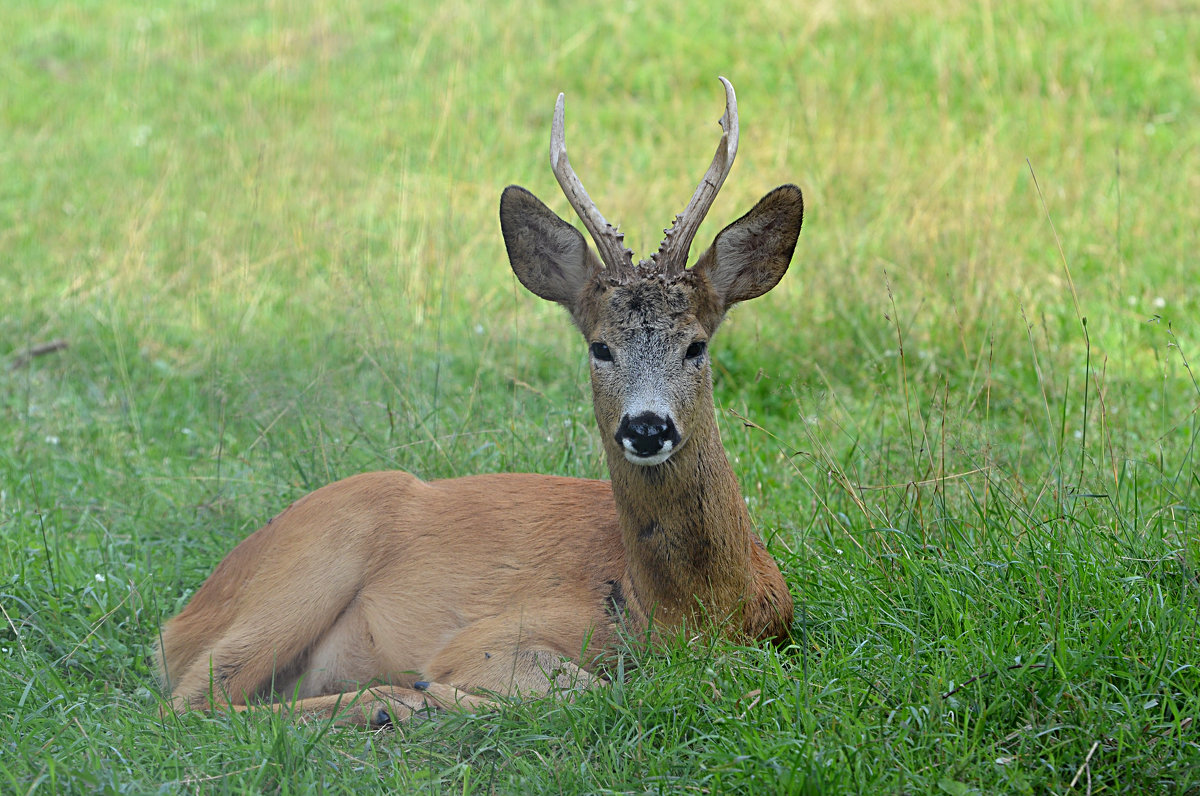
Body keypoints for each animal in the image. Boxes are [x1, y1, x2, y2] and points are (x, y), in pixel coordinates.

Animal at [154, 78, 801, 725]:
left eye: (696, 345)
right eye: (600, 347)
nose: (646, 427)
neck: (688, 613)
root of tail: (179, 621)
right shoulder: (491, 635)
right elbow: (590, 687)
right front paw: (430, 691)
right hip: (317, 555)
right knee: (192, 703)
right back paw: (394, 703)